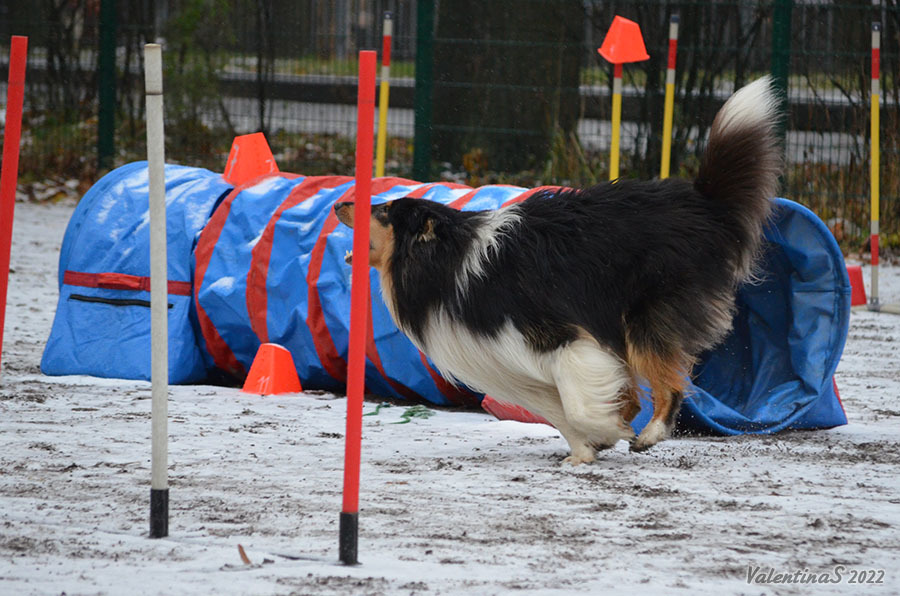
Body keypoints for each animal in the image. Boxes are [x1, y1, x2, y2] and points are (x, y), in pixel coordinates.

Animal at [336, 75, 780, 466]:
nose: (339, 202)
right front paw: (588, 449)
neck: (449, 260)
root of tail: (703, 203)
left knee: (670, 384)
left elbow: (580, 405)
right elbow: (563, 410)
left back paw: (651, 433)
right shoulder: (517, 364)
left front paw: (611, 432)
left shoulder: (565, 339)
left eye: (383, 210)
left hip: (644, 317)